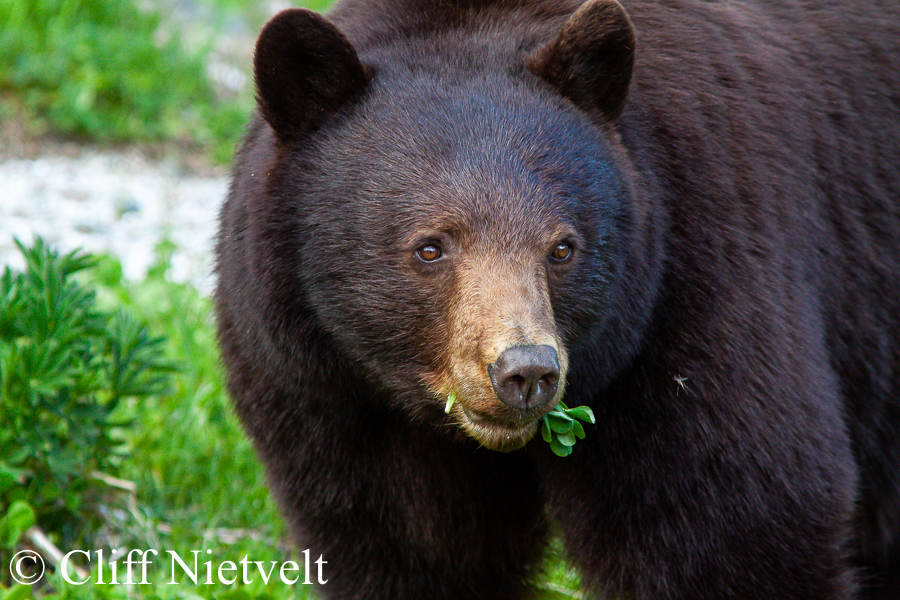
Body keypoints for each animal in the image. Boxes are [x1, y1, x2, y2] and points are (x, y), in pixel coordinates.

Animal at [213, 0, 900, 598]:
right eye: (431, 247)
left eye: (562, 247)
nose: (525, 372)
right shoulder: (339, 396)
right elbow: (406, 546)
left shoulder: (697, 277)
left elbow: (737, 521)